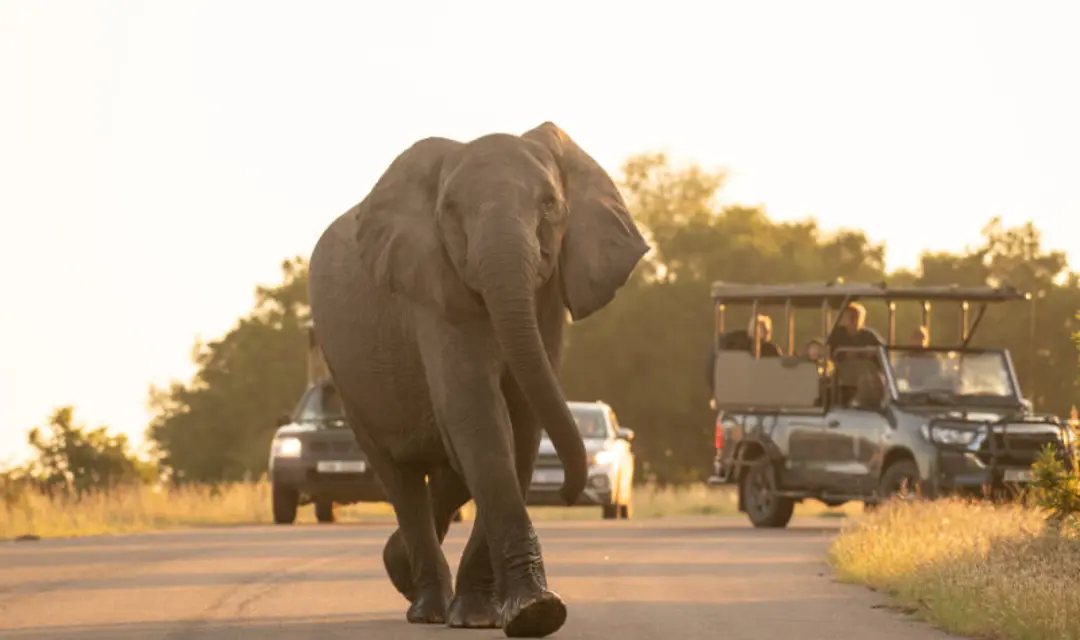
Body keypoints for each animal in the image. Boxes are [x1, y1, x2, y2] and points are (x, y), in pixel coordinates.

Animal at [307, 121, 648, 637]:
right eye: (449, 210)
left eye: (549, 202)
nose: (567, 491)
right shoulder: (431, 287)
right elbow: (480, 415)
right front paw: (535, 613)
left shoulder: (547, 296)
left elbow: (521, 421)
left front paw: (495, 615)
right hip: (346, 373)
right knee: (400, 477)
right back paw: (426, 607)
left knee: (447, 473)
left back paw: (400, 571)